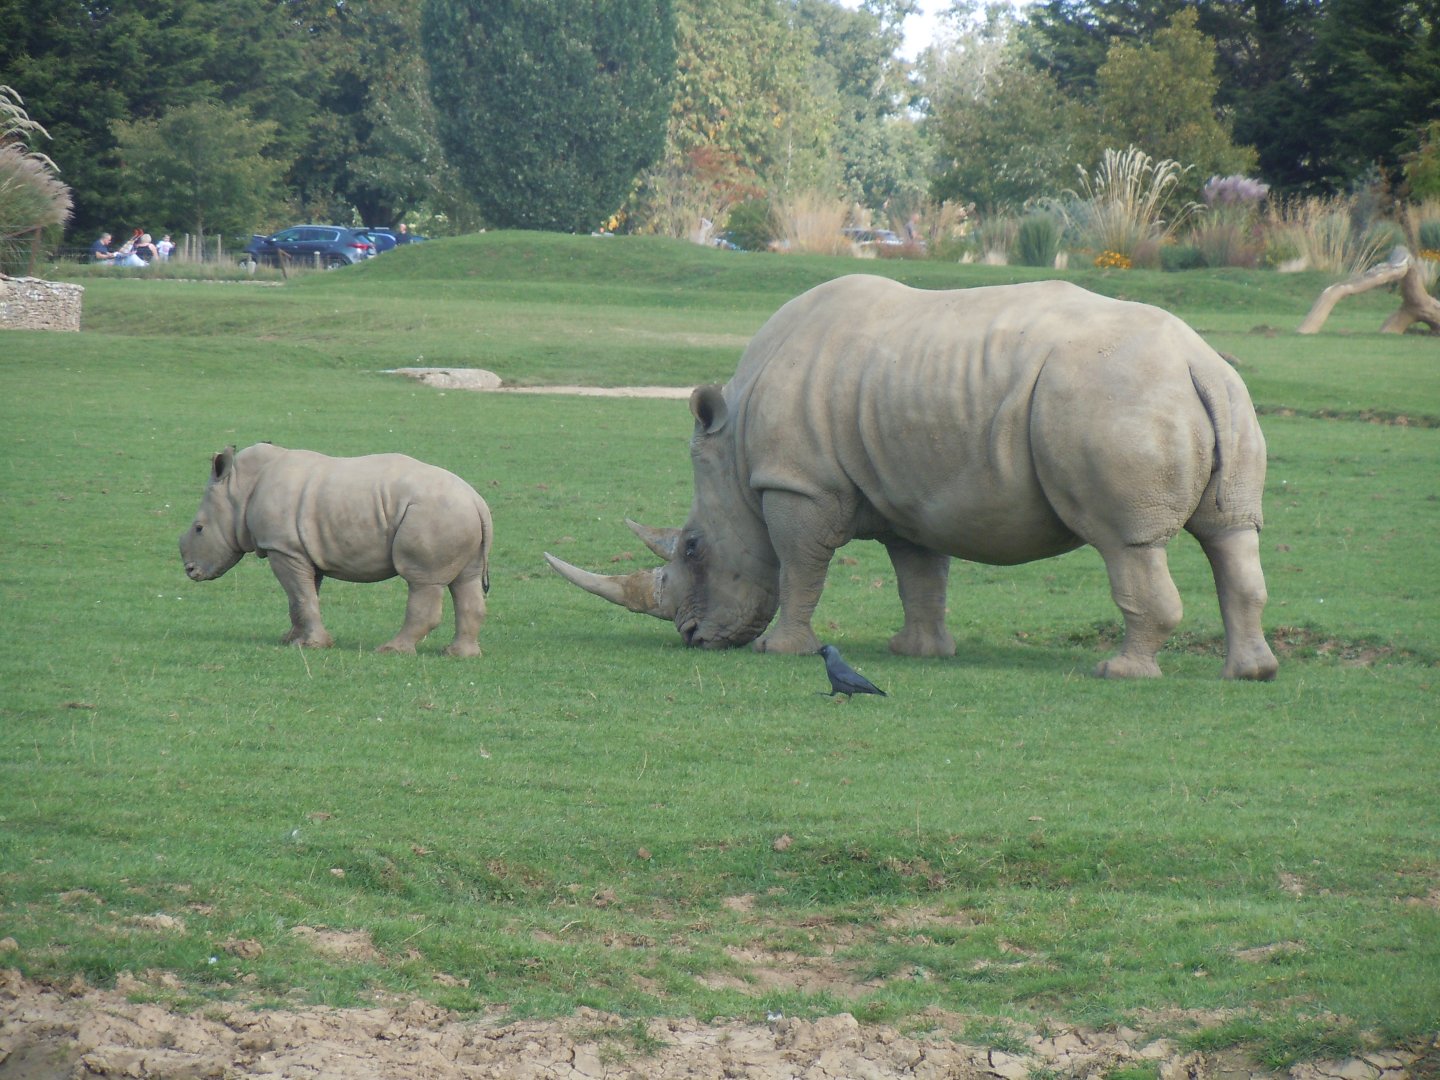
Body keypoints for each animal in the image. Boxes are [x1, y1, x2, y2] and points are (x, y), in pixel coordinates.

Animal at [180, 443, 492, 655]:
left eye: (199, 528)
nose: (190, 571)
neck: (239, 489)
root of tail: (477, 502)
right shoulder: (300, 549)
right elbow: (302, 597)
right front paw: (291, 639)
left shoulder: (283, 548)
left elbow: (301, 595)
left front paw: (311, 645)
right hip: (456, 516)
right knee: (465, 582)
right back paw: (458, 655)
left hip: (433, 515)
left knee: (421, 581)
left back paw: (390, 650)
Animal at [547, 275, 1279, 680]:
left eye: (694, 547)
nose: (692, 639)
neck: (735, 449)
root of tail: (1196, 360)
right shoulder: (910, 494)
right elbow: (920, 575)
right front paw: (917, 652)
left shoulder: (797, 483)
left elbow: (800, 567)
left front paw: (781, 652)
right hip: (1221, 399)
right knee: (1231, 535)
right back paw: (1251, 674)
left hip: (1112, 399)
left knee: (1126, 542)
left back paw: (1118, 672)